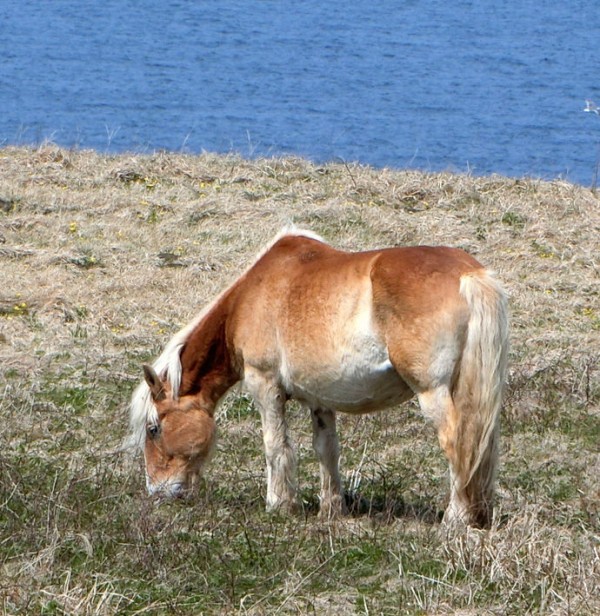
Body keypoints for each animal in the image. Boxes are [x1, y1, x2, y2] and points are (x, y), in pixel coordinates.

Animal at [129, 229, 508, 528]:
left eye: (154, 428)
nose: (156, 491)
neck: (253, 295)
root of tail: (469, 274)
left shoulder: (264, 386)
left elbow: (275, 445)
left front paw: (279, 505)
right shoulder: (321, 401)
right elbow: (326, 450)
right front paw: (331, 509)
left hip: (433, 393)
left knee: (456, 443)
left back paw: (455, 519)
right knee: (480, 443)